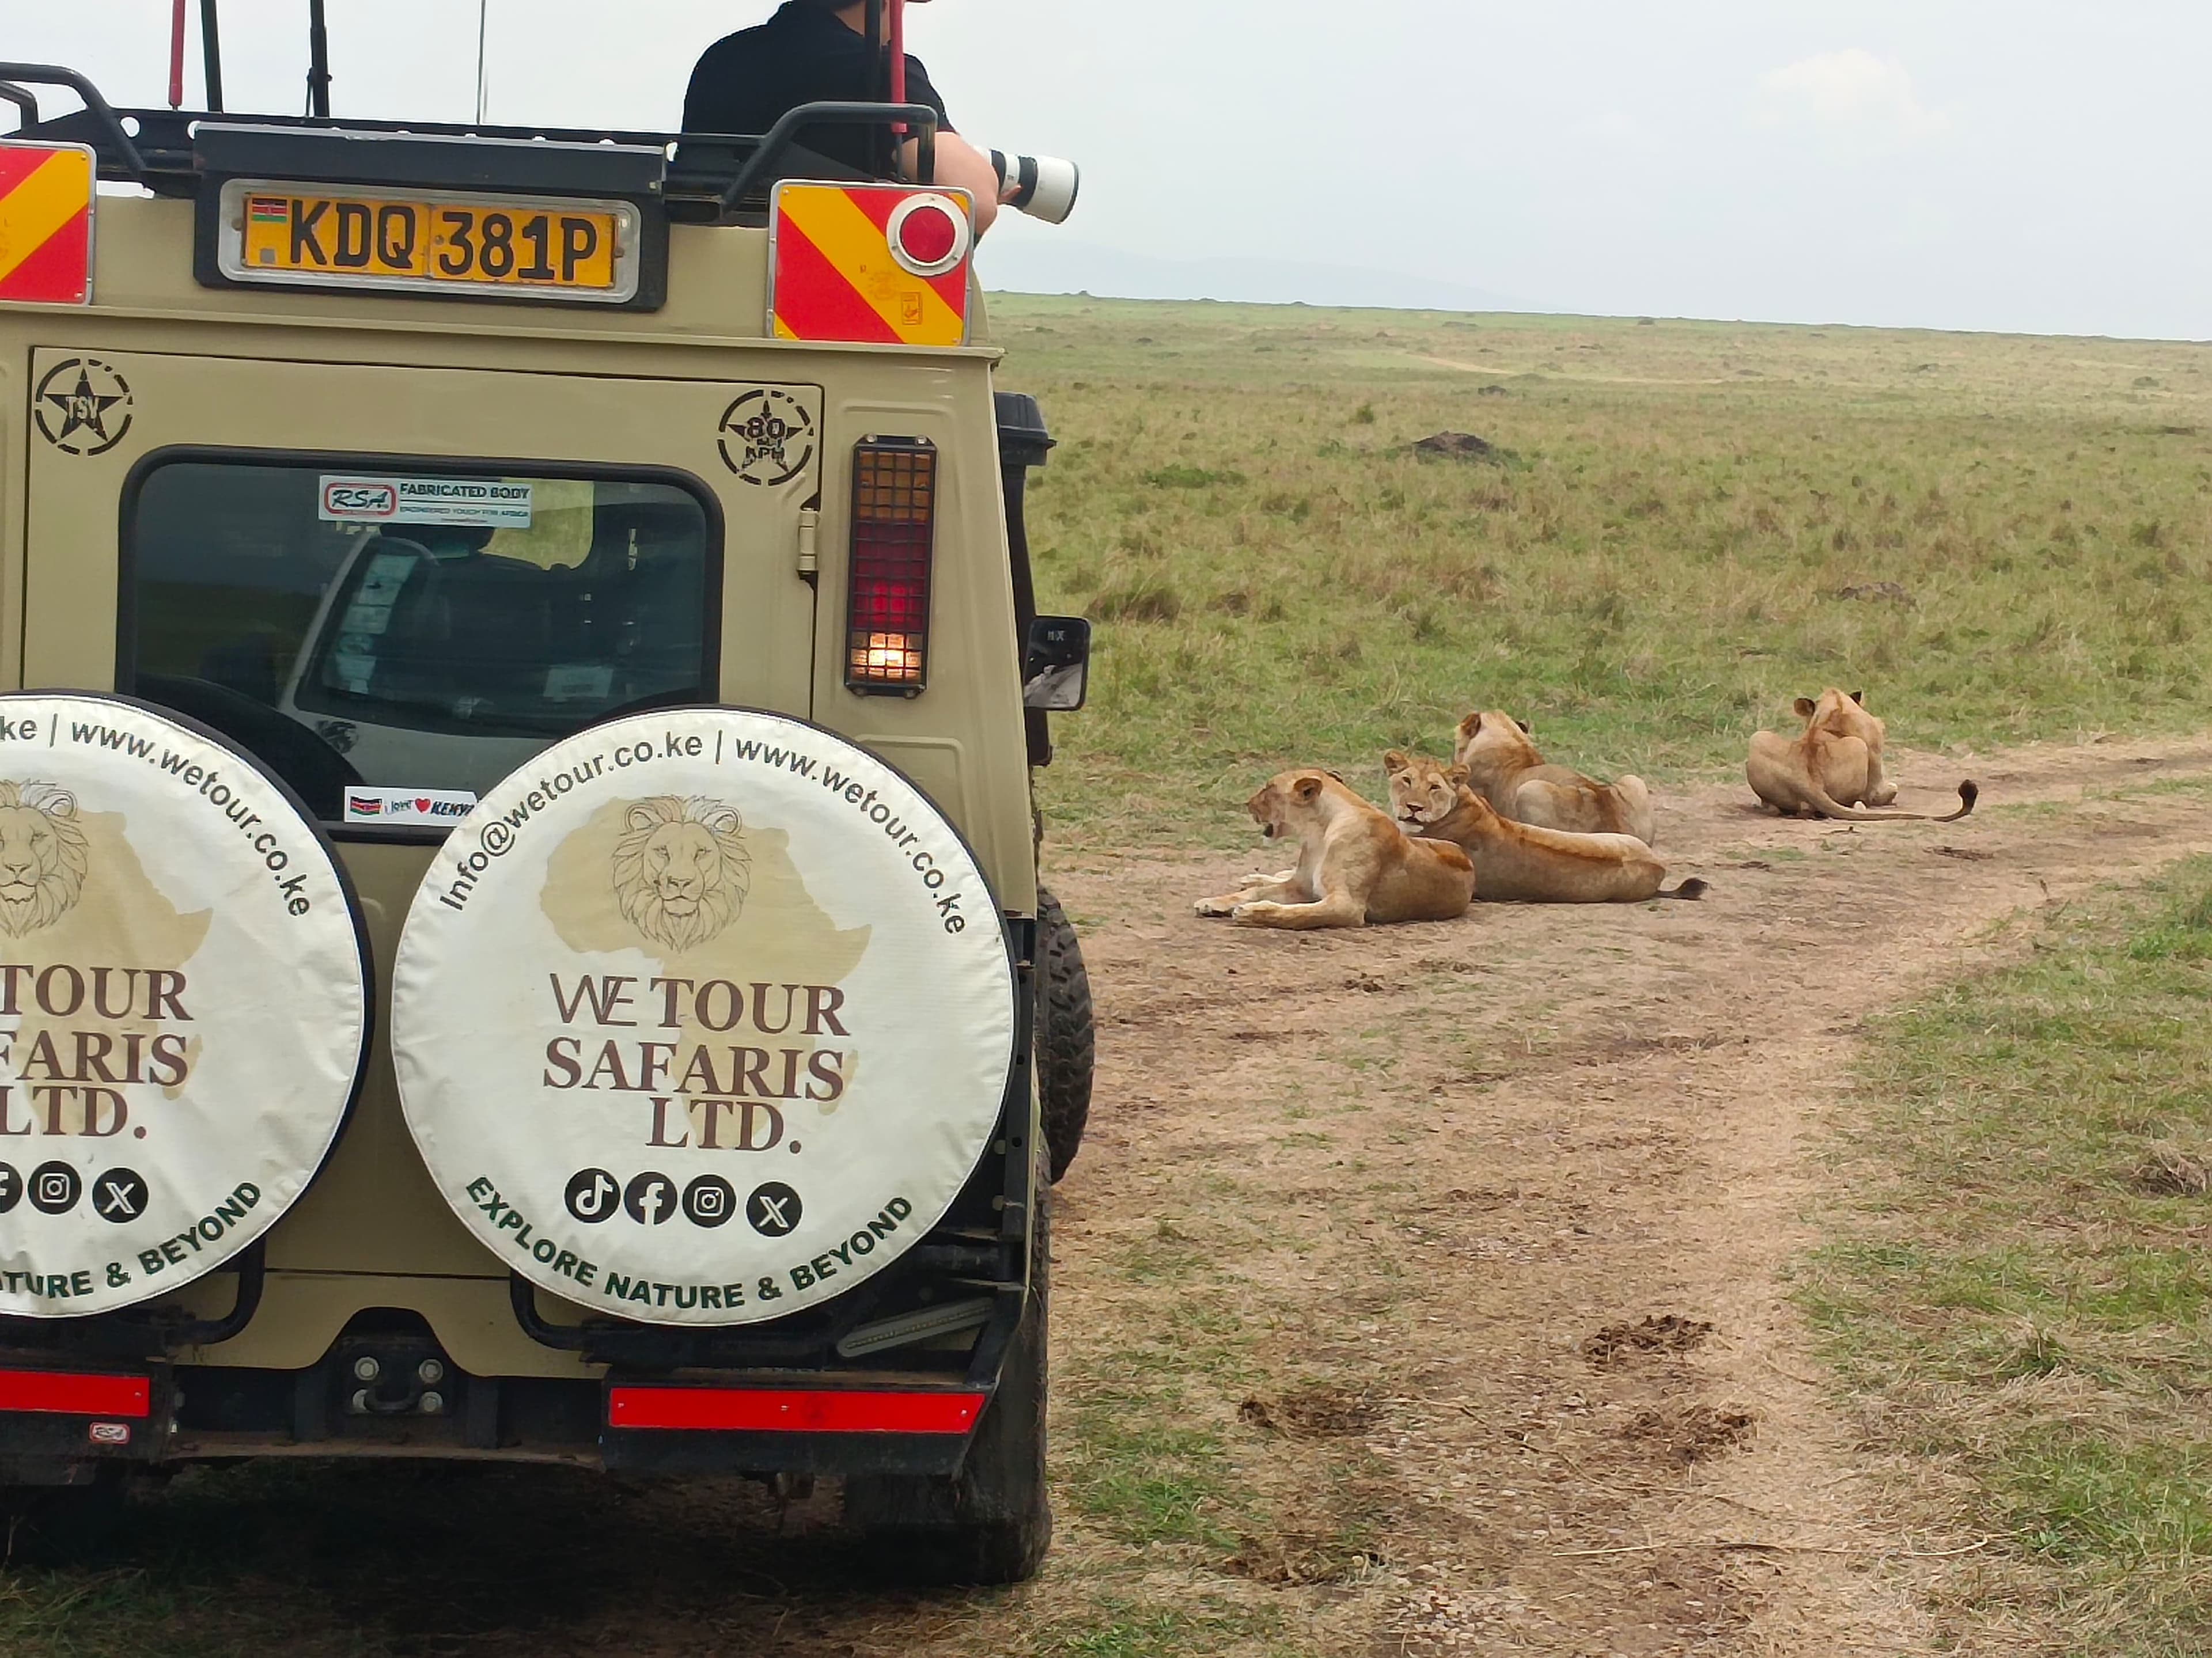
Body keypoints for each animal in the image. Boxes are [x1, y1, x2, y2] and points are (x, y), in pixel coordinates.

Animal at [1195, 769, 1474, 930]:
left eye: (1269, 789)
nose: (1248, 804)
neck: (1318, 833)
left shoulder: (1347, 906)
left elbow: (1299, 915)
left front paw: (1254, 912)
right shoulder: (1300, 886)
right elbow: (1255, 892)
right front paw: (1213, 901)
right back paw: (1252, 877)